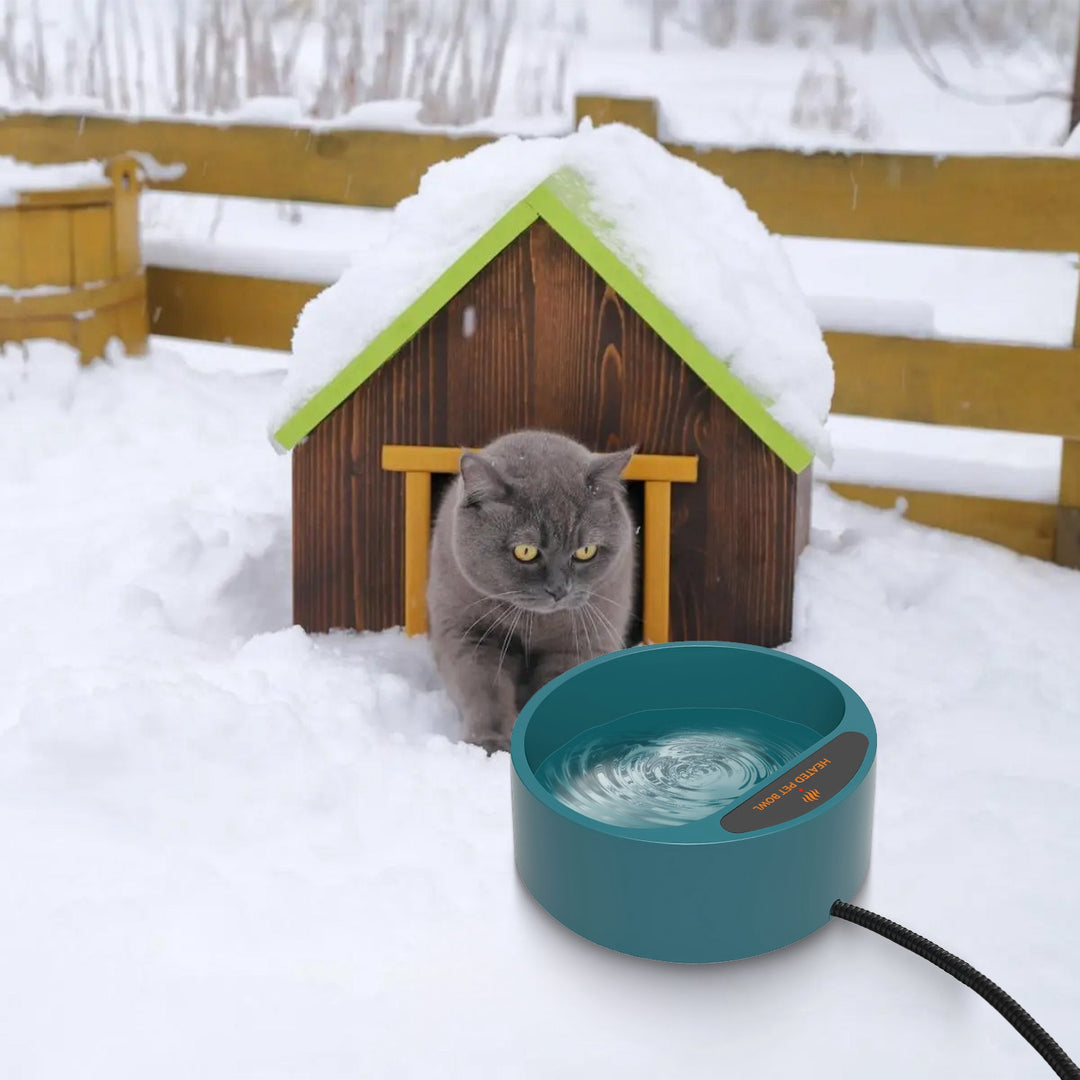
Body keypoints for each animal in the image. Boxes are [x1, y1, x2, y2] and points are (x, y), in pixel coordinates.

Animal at [427, 427, 635, 751]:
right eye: (525, 551)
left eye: (585, 551)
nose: (559, 590)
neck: (534, 623)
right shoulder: (469, 634)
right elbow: (484, 690)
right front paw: (490, 743)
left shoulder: (579, 643)